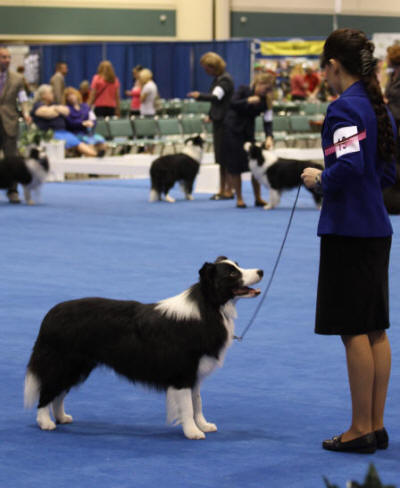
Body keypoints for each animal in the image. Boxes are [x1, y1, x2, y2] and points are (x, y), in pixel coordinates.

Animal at [24, 258, 262, 440]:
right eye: (231, 273)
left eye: (237, 265)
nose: (261, 271)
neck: (209, 307)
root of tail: (51, 314)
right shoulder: (183, 372)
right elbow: (187, 405)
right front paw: (193, 432)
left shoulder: (195, 373)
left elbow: (197, 401)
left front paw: (204, 425)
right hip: (63, 362)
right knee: (48, 390)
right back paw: (45, 422)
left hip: (78, 365)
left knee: (59, 393)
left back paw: (62, 417)